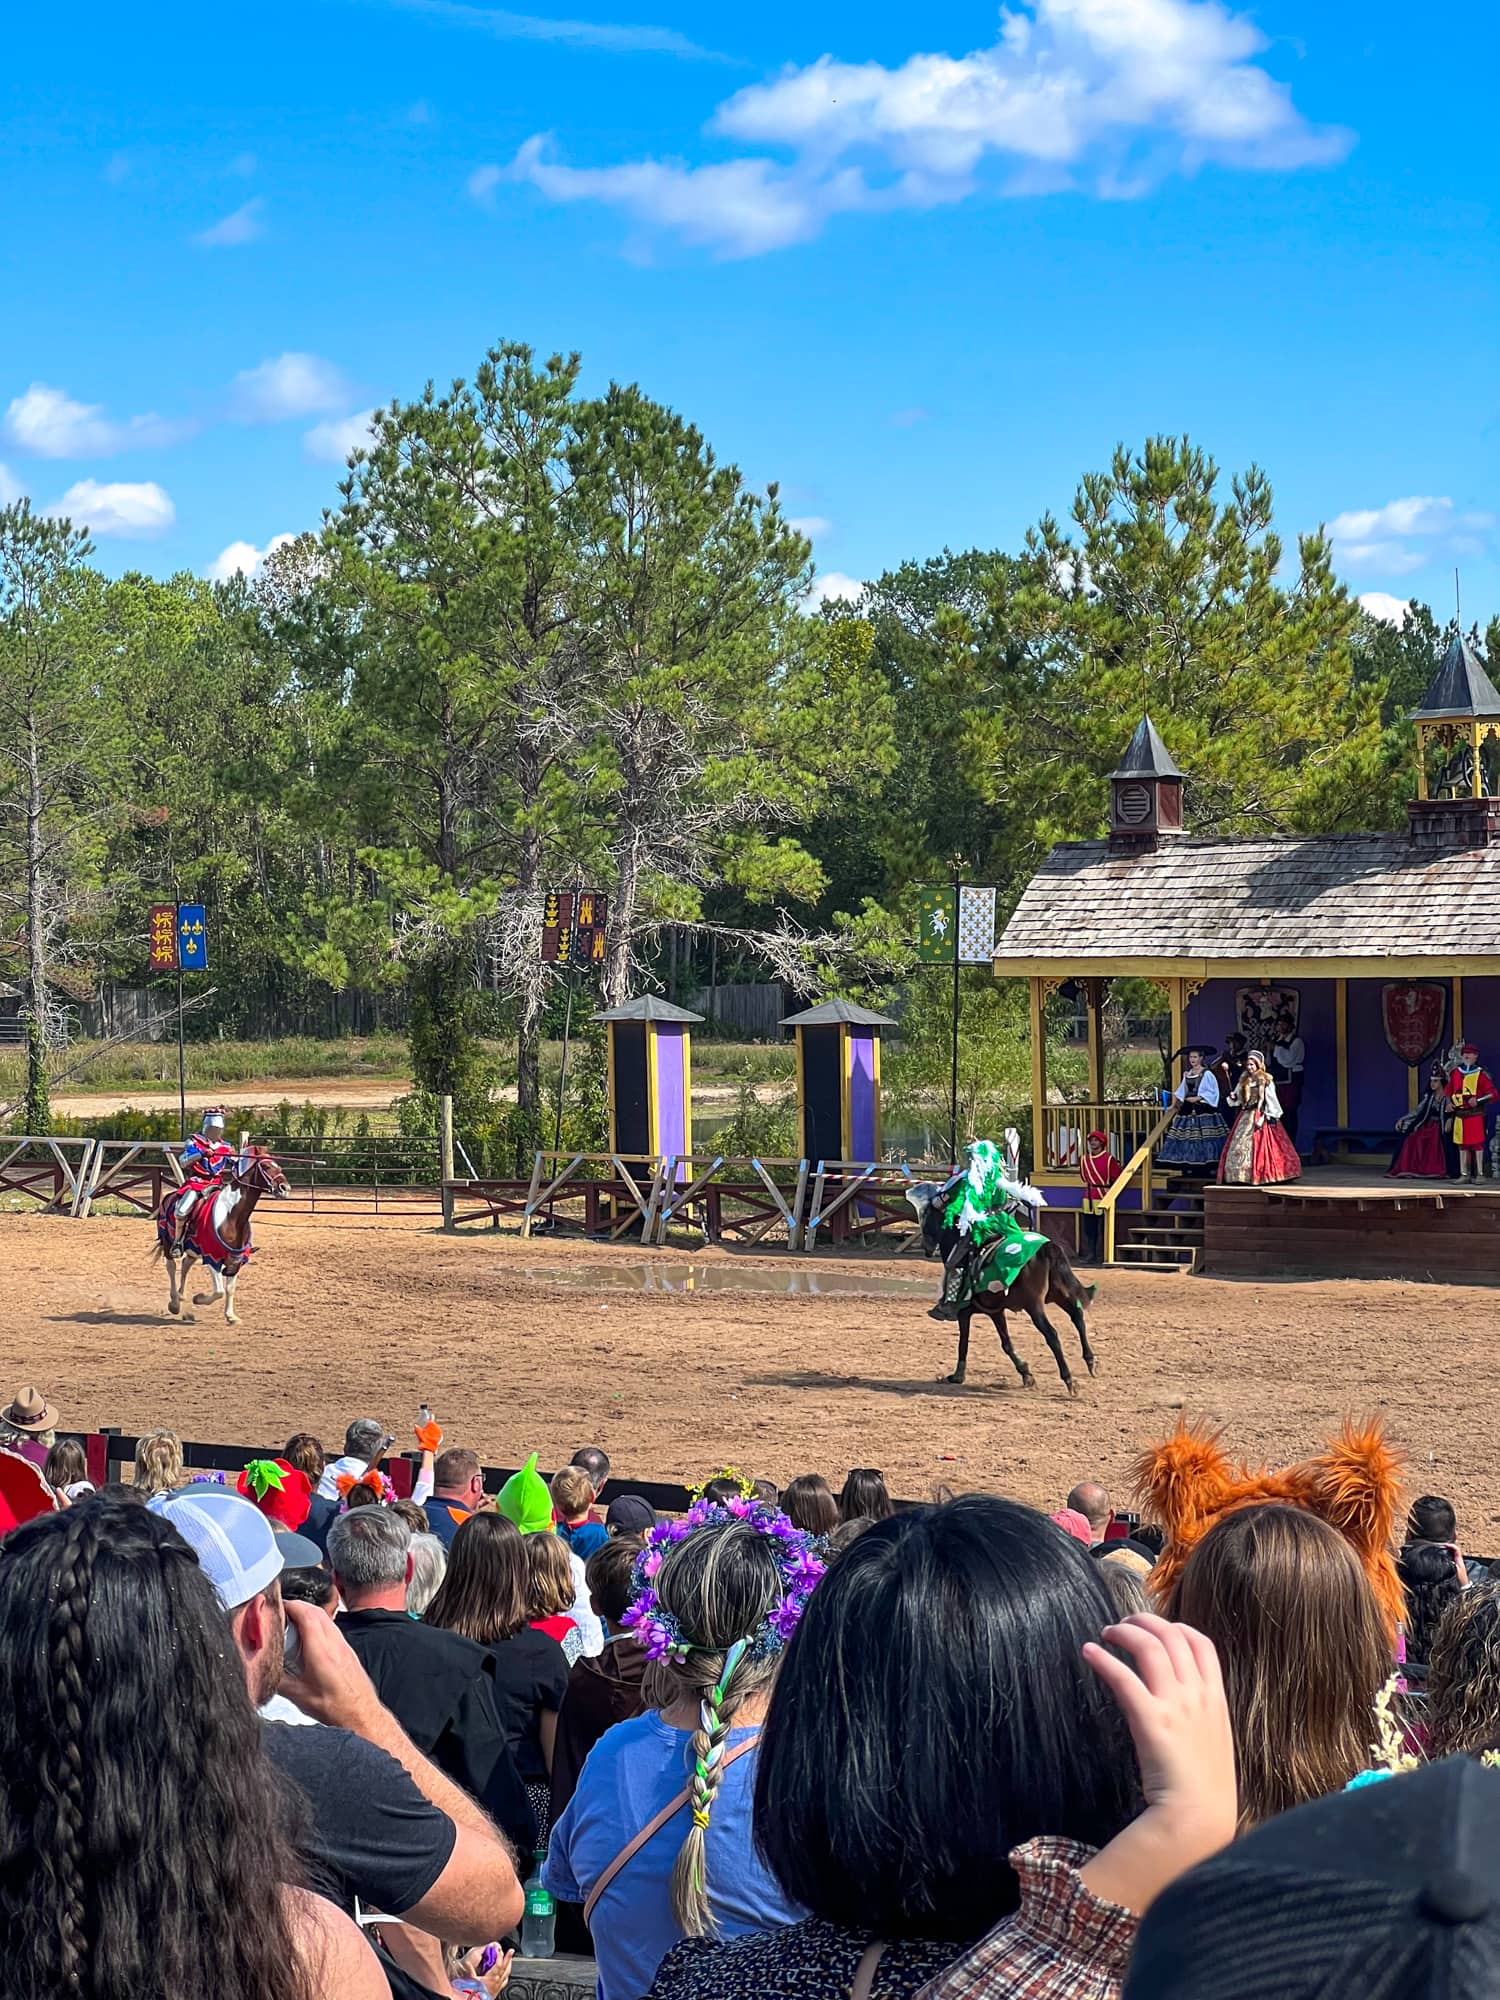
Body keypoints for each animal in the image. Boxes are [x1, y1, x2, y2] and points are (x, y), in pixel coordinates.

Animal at [153, 1144, 290, 1328]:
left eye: (279, 1167)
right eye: (266, 1166)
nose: (285, 1189)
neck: (231, 1216)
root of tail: (169, 1196)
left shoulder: (235, 1260)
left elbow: (229, 1289)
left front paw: (231, 1316)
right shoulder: (212, 1257)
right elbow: (218, 1291)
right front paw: (198, 1299)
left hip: (193, 1248)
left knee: (186, 1263)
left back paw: (181, 1296)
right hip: (168, 1241)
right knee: (171, 1265)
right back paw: (174, 1303)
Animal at [904, 1176, 1104, 1400]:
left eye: (927, 1215)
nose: (927, 1248)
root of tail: (1047, 1248)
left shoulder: (965, 1312)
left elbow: (963, 1342)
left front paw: (957, 1375)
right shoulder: (996, 1311)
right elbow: (1006, 1343)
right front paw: (1026, 1374)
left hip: (1034, 1305)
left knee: (1052, 1334)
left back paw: (1069, 1379)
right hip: (1061, 1294)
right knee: (1077, 1316)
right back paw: (1090, 1361)